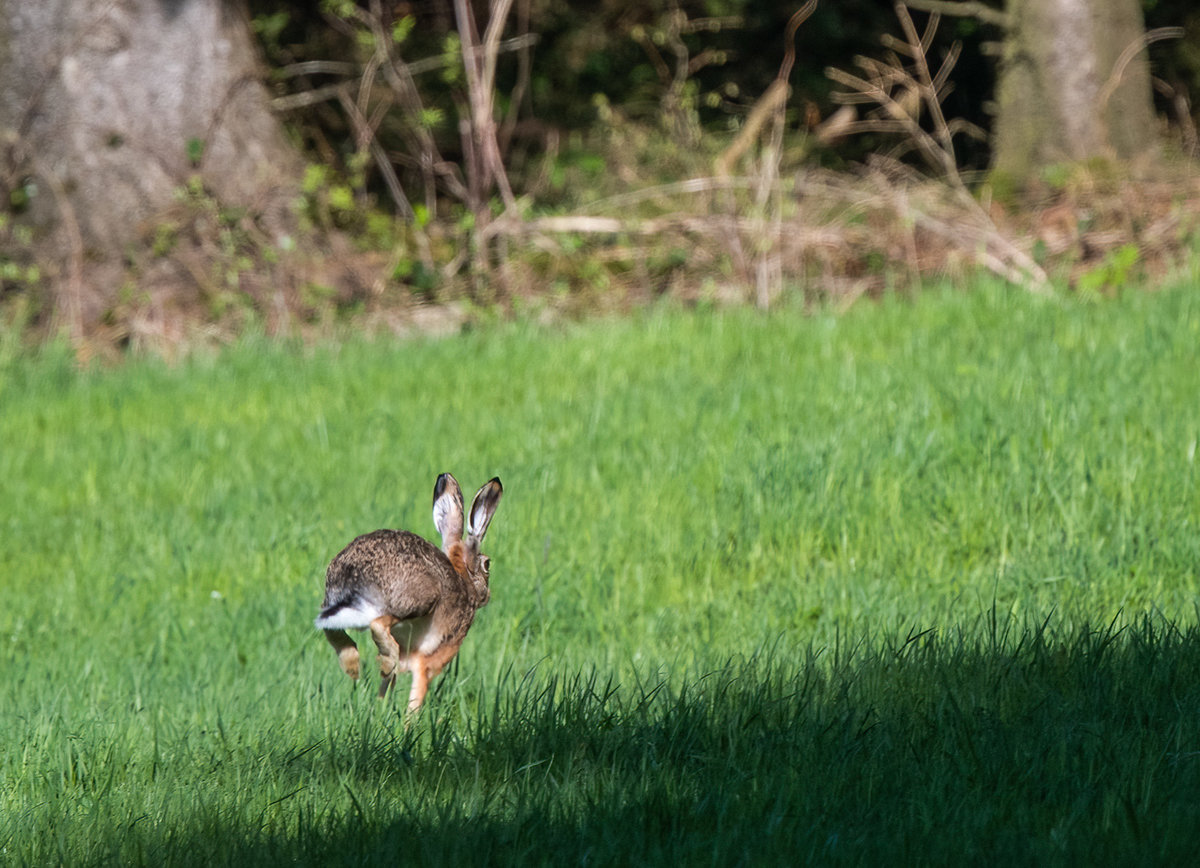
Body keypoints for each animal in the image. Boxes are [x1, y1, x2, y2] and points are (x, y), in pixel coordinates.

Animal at [315, 473, 503, 711]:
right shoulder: (432, 659)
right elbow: (417, 694)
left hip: (332, 603)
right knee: (378, 625)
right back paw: (384, 662)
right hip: (418, 601)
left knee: (333, 630)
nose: (487, 595)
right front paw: (408, 720)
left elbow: (385, 690)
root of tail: (354, 579)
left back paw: (353, 666)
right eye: (487, 564)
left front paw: (380, 710)